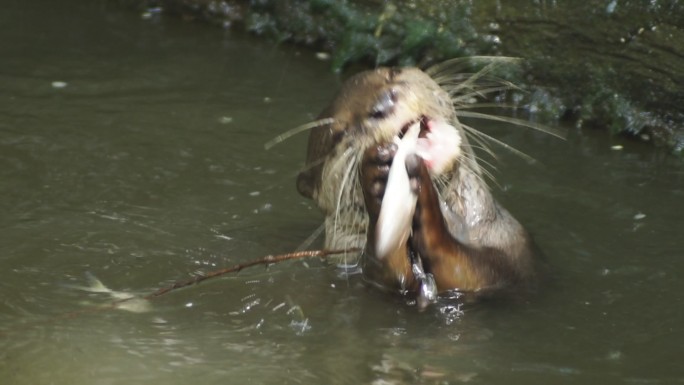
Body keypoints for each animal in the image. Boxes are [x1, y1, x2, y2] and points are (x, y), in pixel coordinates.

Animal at [296, 65, 536, 300]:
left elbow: (467, 270)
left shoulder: (513, 251)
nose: (382, 103)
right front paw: (379, 180)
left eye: (392, 73)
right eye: (339, 134)